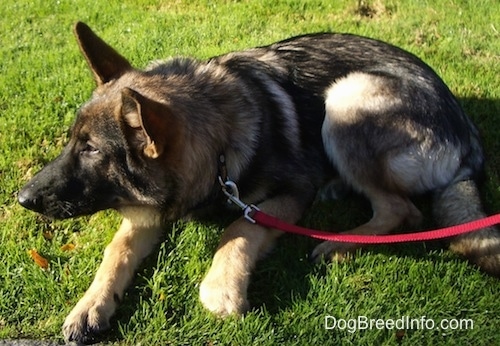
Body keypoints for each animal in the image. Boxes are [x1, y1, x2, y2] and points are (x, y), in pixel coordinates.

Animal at [17, 22, 500, 344]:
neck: (217, 150)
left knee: (404, 209)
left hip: (346, 97)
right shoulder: (150, 209)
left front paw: (221, 286)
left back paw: (338, 242)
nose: (22, 198)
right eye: (72, 143)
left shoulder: (289, 193)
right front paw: (90, 304)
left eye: (91, 151)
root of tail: (469, 141)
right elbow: (116, 249)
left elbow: (238, 227)